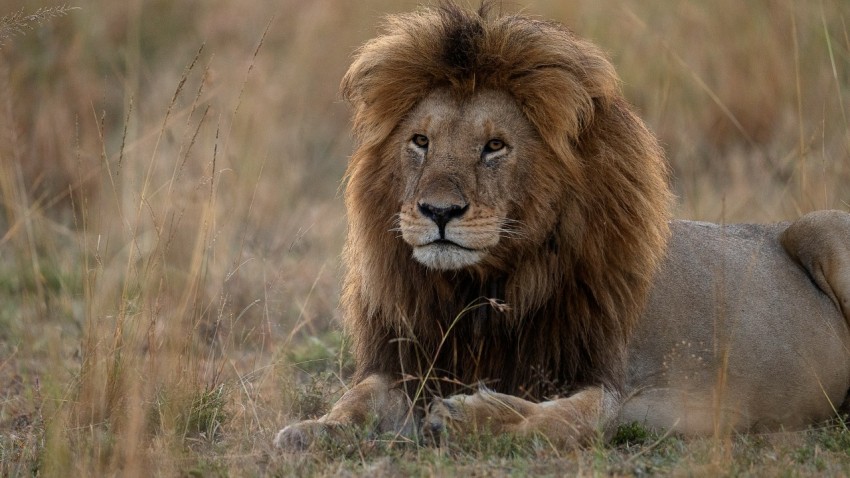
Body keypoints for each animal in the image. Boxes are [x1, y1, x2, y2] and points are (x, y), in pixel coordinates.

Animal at [275, 2, 850, 450]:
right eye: (420, 141)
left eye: (495, 146)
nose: (438, 212)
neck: (478, 290)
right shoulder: (414, 360)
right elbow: (358, 396)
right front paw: (314, 429)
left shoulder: (621, 387)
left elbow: (568, 419)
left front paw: (472, 416)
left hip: (826, 227)